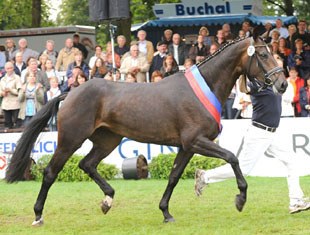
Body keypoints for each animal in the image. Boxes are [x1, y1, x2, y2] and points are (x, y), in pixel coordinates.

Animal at [4, 35, 286, 226]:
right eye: (263, 56)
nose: (282, 83)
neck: (204, 87)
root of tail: (70, 92)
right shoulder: (196, 141)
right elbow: (232, 158)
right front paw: (240, 199)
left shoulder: (186, 147)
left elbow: (173, 176)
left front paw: (166, 212)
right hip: (70, 140)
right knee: (51, 172)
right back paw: (38, 215)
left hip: (107, 140)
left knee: (87, 164)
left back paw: (107, 200)